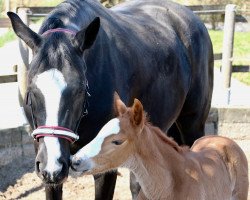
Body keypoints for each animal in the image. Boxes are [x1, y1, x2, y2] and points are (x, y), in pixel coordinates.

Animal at [8, 0, 213, 199]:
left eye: (80, 90)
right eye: (31, 89)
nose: (53, 166)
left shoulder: (105, 164)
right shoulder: (45, 162)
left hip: (193, 124)